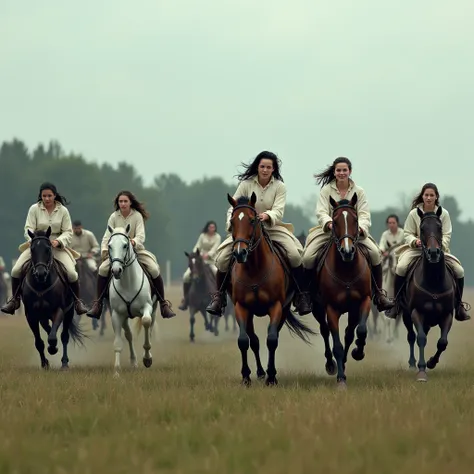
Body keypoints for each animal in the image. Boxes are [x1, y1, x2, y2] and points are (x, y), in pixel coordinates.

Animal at [21, 228, 85, 368]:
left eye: (48, 248)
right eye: (32, 249)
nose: (40, 273)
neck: (41, 285)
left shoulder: (59, 310)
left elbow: (53, 337)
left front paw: (53, 349)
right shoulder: (31, 315)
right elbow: (39, 342)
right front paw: (44, 363)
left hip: (69, 312)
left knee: (64, 336)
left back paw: (64, 362)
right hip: (43, 316)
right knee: (48, 328)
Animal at [106, 224, 158, 376]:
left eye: (125, 245)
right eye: (109, 246)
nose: (116, 270)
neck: (128, 283)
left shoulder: (147, 307)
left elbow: (146, 322)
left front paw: (147, 359)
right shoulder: (117, 315)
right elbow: (118, 343)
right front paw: (116, 371)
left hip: (154, 310)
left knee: (150, 327)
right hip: (124, 317)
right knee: (128, 335)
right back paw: (133, 362)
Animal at [225, 193, 316, 386]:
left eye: (252, 220)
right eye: (232, 221)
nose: (239, 253)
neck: (254, 268)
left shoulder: (276, 306)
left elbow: (272, 340)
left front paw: (272, 376)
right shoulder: (241, 307)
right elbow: (244, 341)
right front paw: (246, 376)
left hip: (283, 310)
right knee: (254, 340)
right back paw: (259, 372)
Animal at [312, 193, 374, 388]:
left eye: (355, 219)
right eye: (335, 220)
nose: (347, 251)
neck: (346, 269)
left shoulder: (363, 302)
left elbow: (360, 331)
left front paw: (358, 352)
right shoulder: (332, 309)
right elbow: (337, 345)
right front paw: (340, 379)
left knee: (348, 334)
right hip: (318, 309)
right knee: (324, 331)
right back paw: (331, 365)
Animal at [398, 207, 458, 382]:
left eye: (439, 227)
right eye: (422, 228)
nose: (433, 253)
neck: (433, 281)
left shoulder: (447, 314)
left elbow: (442, 342)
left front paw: (431, 362)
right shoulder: (416, 312)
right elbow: (421, 338)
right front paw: (422, 370)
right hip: (406, 314)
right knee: (412, 336)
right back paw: (412, 363)